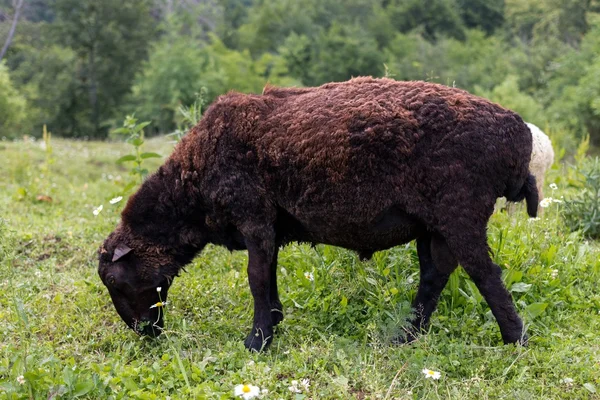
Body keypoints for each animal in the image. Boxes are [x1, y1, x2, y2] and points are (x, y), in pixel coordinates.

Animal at [98, 76, 540, 352]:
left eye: (115, 280)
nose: (144, 333)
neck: (193, 185)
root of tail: (520, 136)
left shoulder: (253, 214)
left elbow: (256, 279)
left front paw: (256, 343)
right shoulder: (269, 227)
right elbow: (269, 276)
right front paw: (272, 325)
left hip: (461, 211)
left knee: (485, 275)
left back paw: (515, 341)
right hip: (434, 224)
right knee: (435, 276)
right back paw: (405, 338)